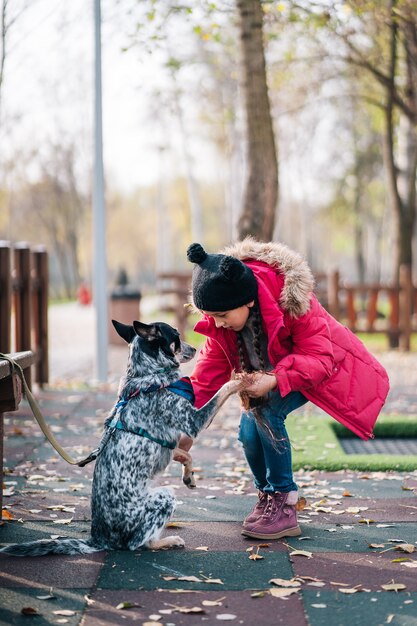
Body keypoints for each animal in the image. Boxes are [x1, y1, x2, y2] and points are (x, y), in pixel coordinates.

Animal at [0, 320, 245, 552]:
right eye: (175, 336)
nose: (195, 348)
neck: (147, 375)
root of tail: (98, 540)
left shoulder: (168, 445)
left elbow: (186, 454)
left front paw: (189, 476)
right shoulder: (193, 421)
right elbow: (222, 391)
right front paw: (240, 380)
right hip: (164, 496)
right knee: (139, 543)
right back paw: (167, 541)